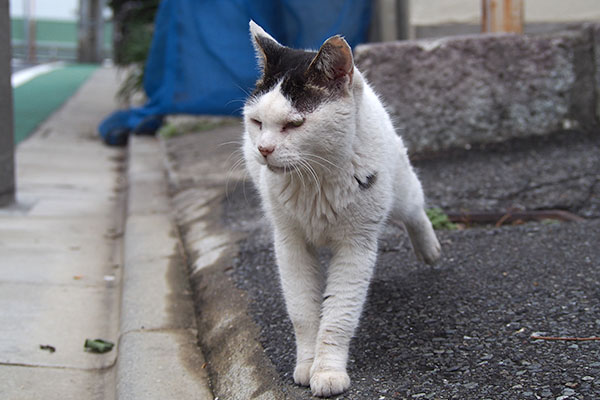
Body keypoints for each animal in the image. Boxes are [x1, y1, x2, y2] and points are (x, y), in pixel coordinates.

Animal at [241, 21, 442, 396]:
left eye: (295, 124)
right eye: (257, 122)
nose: (264, 149)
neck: (315, 179)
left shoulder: (356, 246)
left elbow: (339, 315)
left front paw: (328, 371)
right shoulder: (290, 244)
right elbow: (303, 312)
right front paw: (307, 365)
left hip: (399, 190)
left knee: (415, 209)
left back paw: (430, 250)